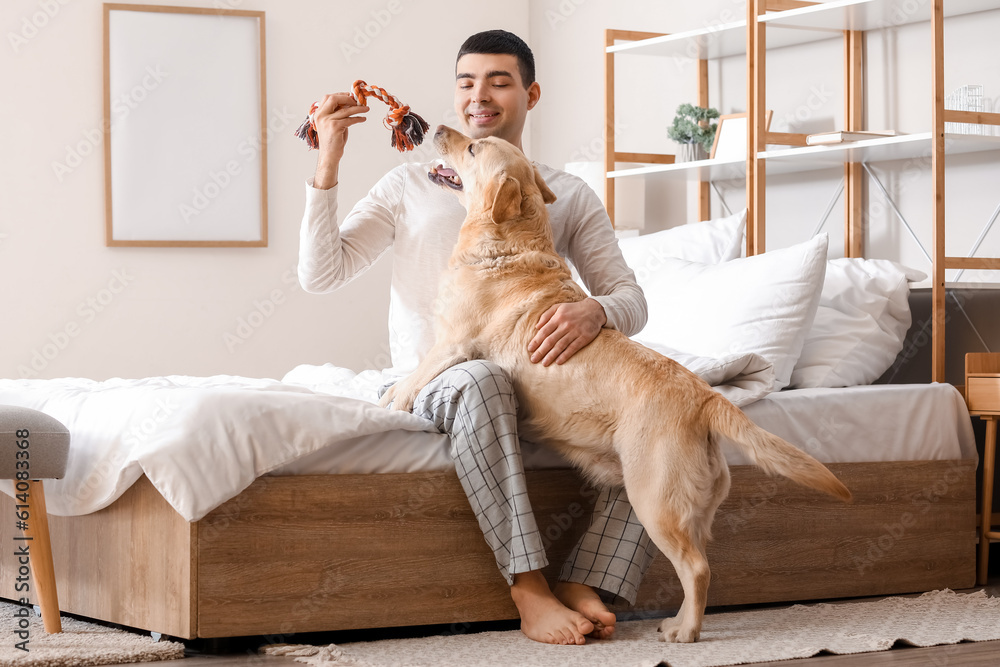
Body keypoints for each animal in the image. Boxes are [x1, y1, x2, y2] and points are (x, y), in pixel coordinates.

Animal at [378, 125, 848, 640]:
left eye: (474, 147)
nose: (438, 128)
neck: (508, 241)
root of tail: (704, 397)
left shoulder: (452, 343)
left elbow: (411, 382)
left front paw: (387, 404)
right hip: (688, 504)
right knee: (702, 563)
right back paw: (676, 621)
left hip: (654, 497)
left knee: (696, 568)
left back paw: (685, 631)